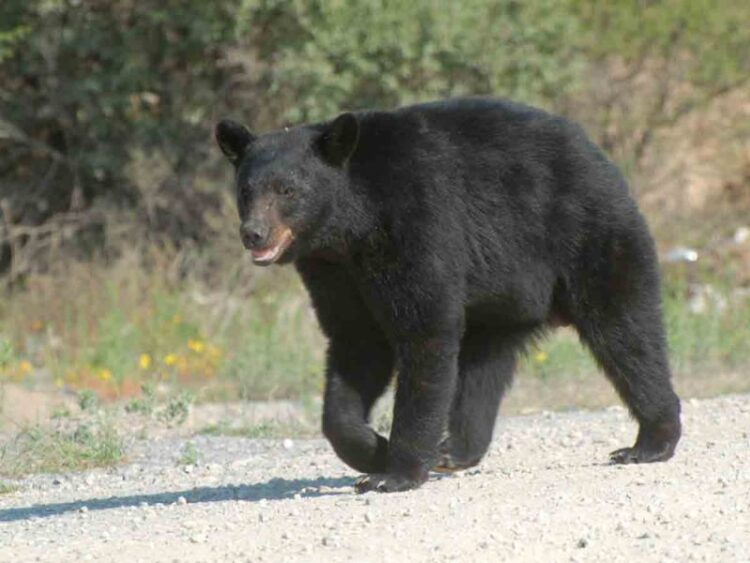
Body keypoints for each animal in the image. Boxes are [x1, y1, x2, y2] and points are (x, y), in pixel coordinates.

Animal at [215, 97, 682, 493]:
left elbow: (425, 332)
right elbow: (355, 342)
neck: (350, 227)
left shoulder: (415, 225)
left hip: (589, 238)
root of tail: (598, 154)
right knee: (482, 369)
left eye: (287, 190)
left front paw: (395, 472)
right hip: (501, 301)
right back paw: (454, 450)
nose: (254, 233)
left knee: (625, 333)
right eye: (246, 190)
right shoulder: (333, 272)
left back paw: (649, 442)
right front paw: (372, 449)